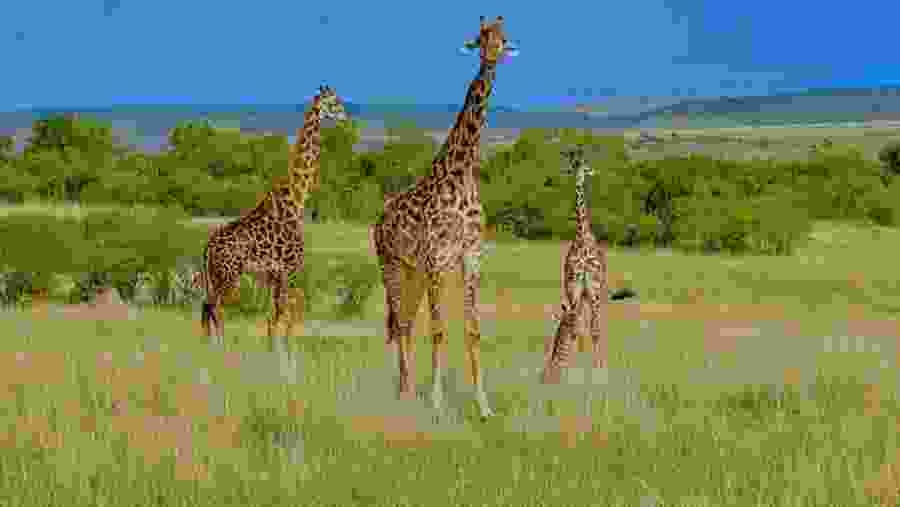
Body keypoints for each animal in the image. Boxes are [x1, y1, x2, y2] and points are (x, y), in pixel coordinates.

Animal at [200, 85, 347, 341]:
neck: (296, 201)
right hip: (229, 275)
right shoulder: (288, 270)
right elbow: (284, 318)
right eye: (333, 102)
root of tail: (208, 248)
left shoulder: (272, 275)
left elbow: (272, 320)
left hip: (215, 276)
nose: (344, 115)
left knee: (205, 308)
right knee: (214, 308)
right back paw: (220, 346)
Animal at [372, 16, 514, 419]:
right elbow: (437, 329)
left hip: (413, 272)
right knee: (400, 322)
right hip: (391, 264)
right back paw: (405, 393)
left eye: (503, 37)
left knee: (404, 322)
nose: (492, 55)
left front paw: (483, 405)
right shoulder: (436, 257)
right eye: (481, 37)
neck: (463, 173)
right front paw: (436, 402)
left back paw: (405, 387)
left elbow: (472, 330)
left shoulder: (471, 256)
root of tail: (378, 221)